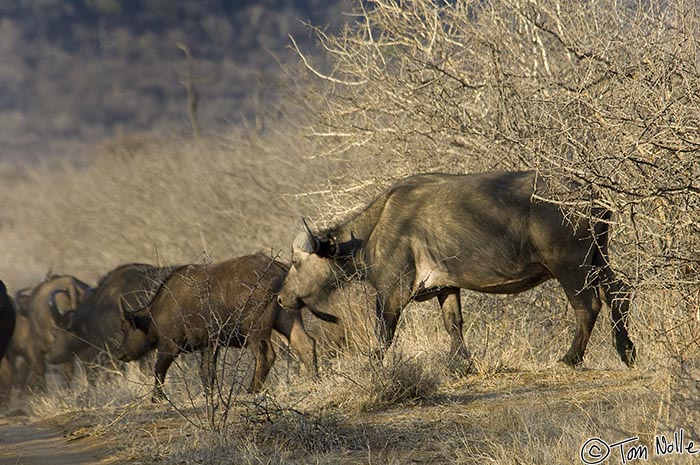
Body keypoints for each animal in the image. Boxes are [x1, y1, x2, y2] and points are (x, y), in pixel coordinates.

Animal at [116, 254, 338, 402]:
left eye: (126, 329)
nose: (121, 354)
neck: (157, 312)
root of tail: (278, 267)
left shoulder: (170, 345)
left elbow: (159, 369)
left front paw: (156, 398)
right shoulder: (210, 345)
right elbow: (207, 372)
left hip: (255, 329)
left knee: (266, 355)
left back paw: (251, 390)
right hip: (286, 317)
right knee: (306, 344)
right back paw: (315, 379)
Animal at [276, 169, 636, 366]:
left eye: (295, 262)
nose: (281, 298)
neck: (377, 227)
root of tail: (590, 196)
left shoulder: (392, 294)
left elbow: (383, 335)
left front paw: (374, 367)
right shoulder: (446, 287)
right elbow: (454, 324)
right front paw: (461, 364)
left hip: (570, 266)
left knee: (588, 305)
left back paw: (570, 358)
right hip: (598, 257)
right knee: (618, 293)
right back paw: (626, 350)